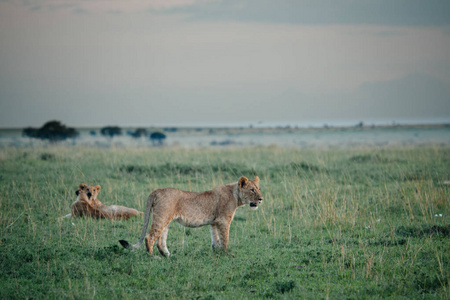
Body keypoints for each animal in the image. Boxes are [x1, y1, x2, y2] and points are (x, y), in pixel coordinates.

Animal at [119, 176, 264, 258]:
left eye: (259, 189)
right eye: (252, 190)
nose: (261, 199)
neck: (235, 195)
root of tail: (155, 191)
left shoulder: (214, 222)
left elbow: (215, 239)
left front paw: (216, 253)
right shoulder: (223, 221)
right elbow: (225, 239)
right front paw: (227, 254)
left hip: (166, 220)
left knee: (161, 241)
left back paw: (169, 256)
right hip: (161, 218)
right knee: (149, 237)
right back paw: (153, 257)